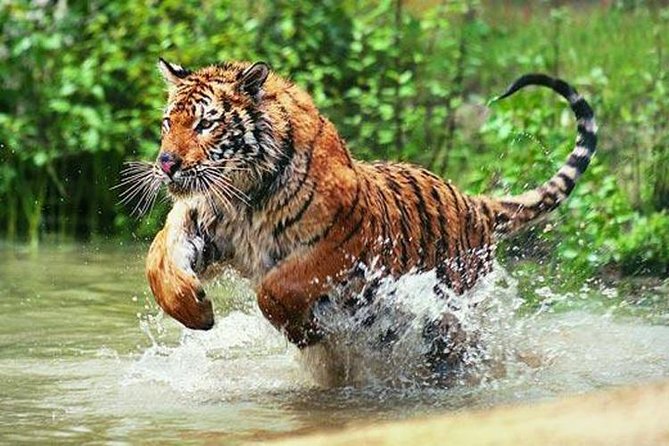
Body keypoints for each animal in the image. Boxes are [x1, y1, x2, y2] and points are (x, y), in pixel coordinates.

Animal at [131, 59, 596, 368]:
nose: (166, 164)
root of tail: (473, 203)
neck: (244, 195)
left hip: (451, 317)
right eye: (167, 123)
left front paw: (305, 332)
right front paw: (196, 311)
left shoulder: (342, 241)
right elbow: (157, 263)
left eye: (206, 124)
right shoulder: (199, 221)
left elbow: (277, 288)